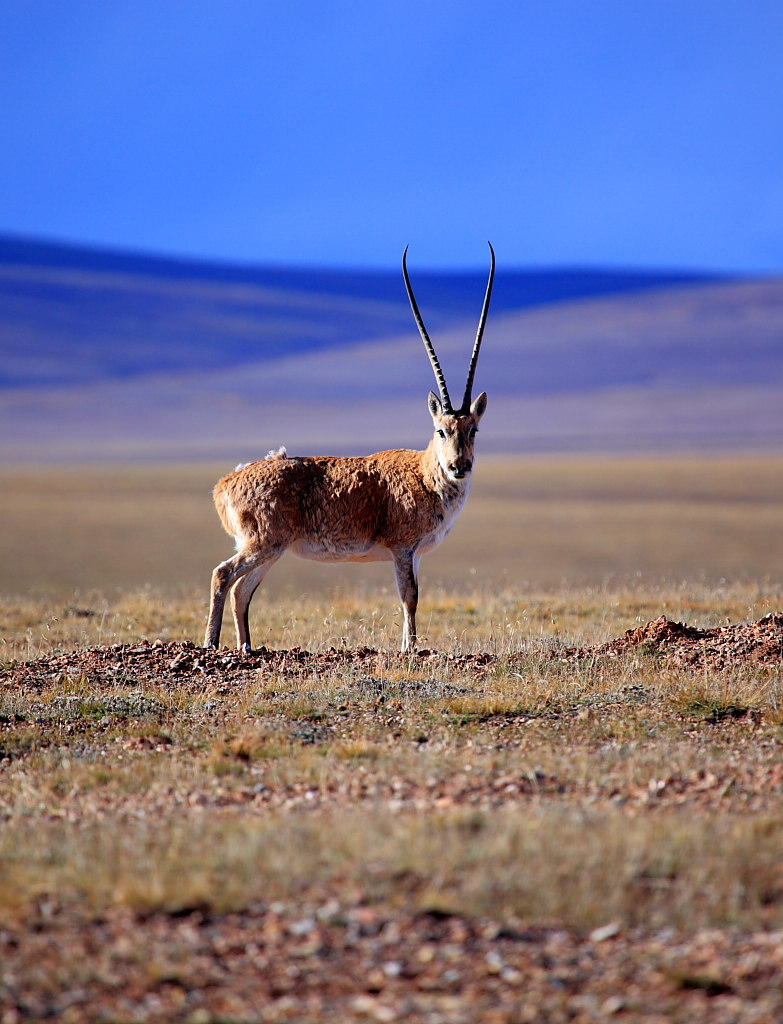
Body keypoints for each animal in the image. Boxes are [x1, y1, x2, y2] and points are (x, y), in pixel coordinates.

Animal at [202, 243, 495, 651]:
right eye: (441, 430)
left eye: (473, 430)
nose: (459, 466)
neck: (424, 474)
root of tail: (226, 483)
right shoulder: (402, 548)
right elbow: (410, 596)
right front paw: (410, 649)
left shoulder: (416, 554)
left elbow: (413, 595)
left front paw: (409, 645)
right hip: (261, 543)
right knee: (223, 575)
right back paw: (211, 644)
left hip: (271, 550)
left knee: (242, 590)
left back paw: (248, 646)